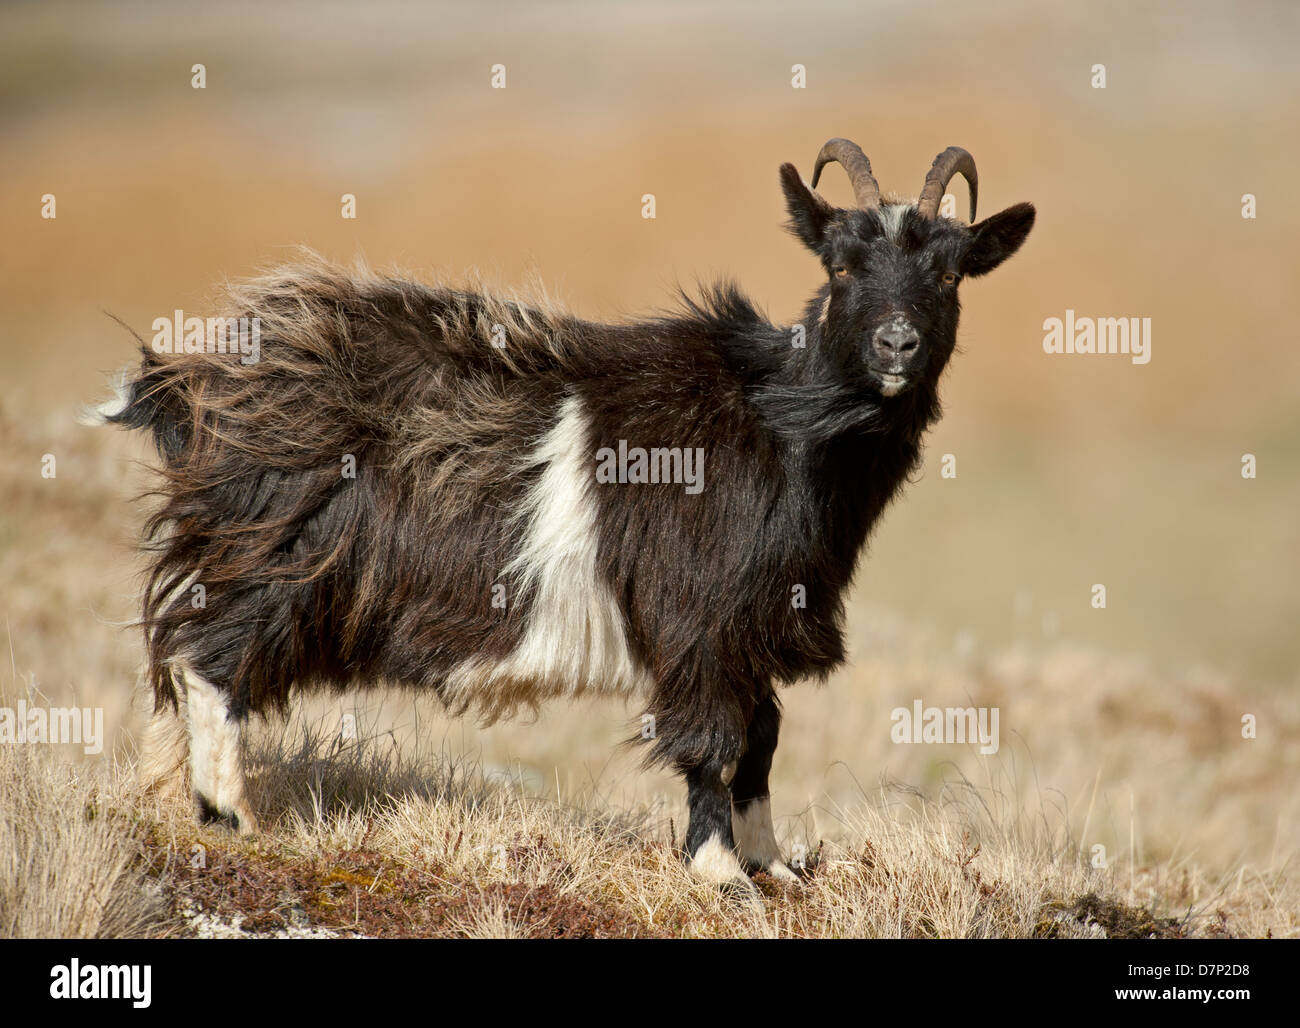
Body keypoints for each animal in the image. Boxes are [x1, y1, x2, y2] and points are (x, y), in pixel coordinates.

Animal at [92, 139, 1034, 893]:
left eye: (950, 272)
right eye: (840, 267)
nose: (896, 345)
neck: (780, 421)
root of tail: (198, 377)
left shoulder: (754, 622)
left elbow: (764, 735)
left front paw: (773, 862)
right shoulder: (700, 621)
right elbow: (716, 738)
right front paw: (720, 872)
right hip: (276, 557)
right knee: (211, 659)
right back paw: (231, 813)